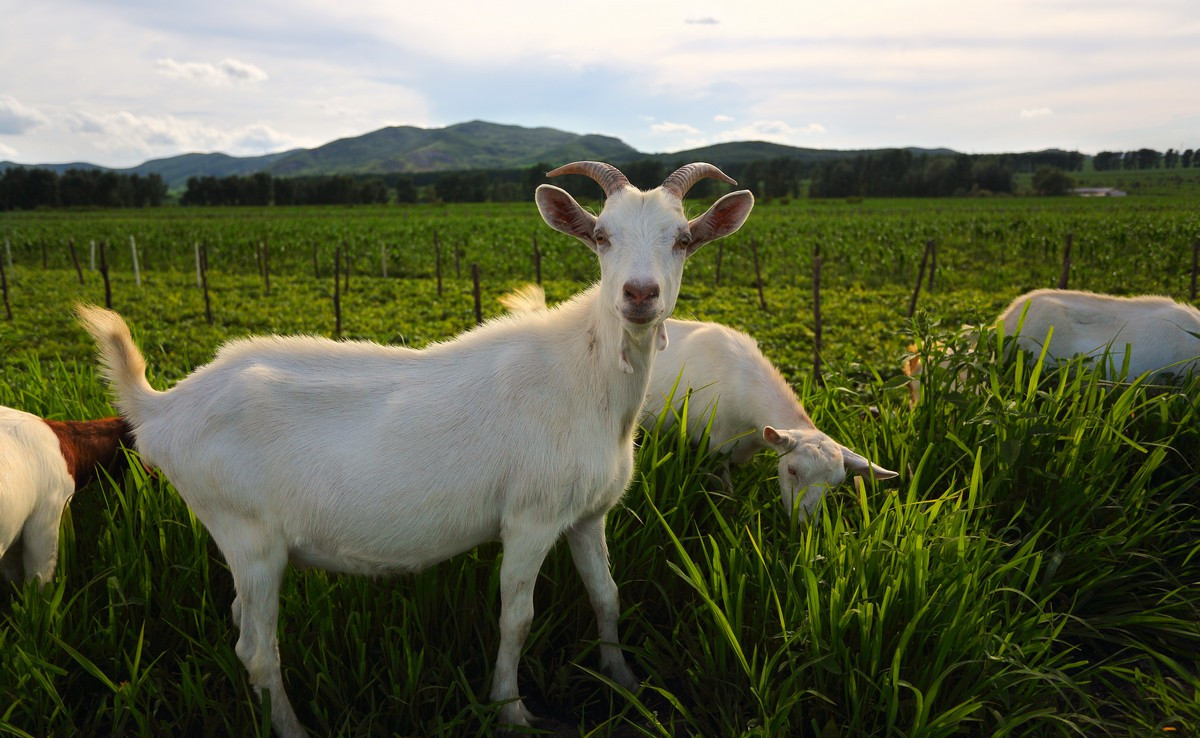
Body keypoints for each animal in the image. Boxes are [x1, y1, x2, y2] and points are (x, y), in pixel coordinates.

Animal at [77, 163, 748, 738]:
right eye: (602, 237)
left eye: (683, 239)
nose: (639, 294)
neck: (586, 376)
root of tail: (161, 409)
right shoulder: (530, 516)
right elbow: (517, 616)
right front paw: (510, 709)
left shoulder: (586, 513)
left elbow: (607, 596)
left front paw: (625, 681)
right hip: (246, 531)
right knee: (256, 646)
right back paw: (293, 728)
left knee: (243, 625)